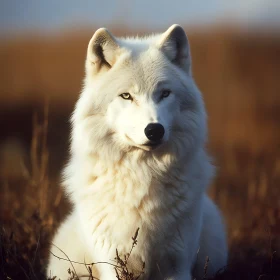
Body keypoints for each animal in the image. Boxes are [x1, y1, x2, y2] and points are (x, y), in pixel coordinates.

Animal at [47, 24, 228, 280]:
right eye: (126, 96)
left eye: (164, 94)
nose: (154, 130)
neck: (143, 176)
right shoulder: (112, 263)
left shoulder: (178, 265)